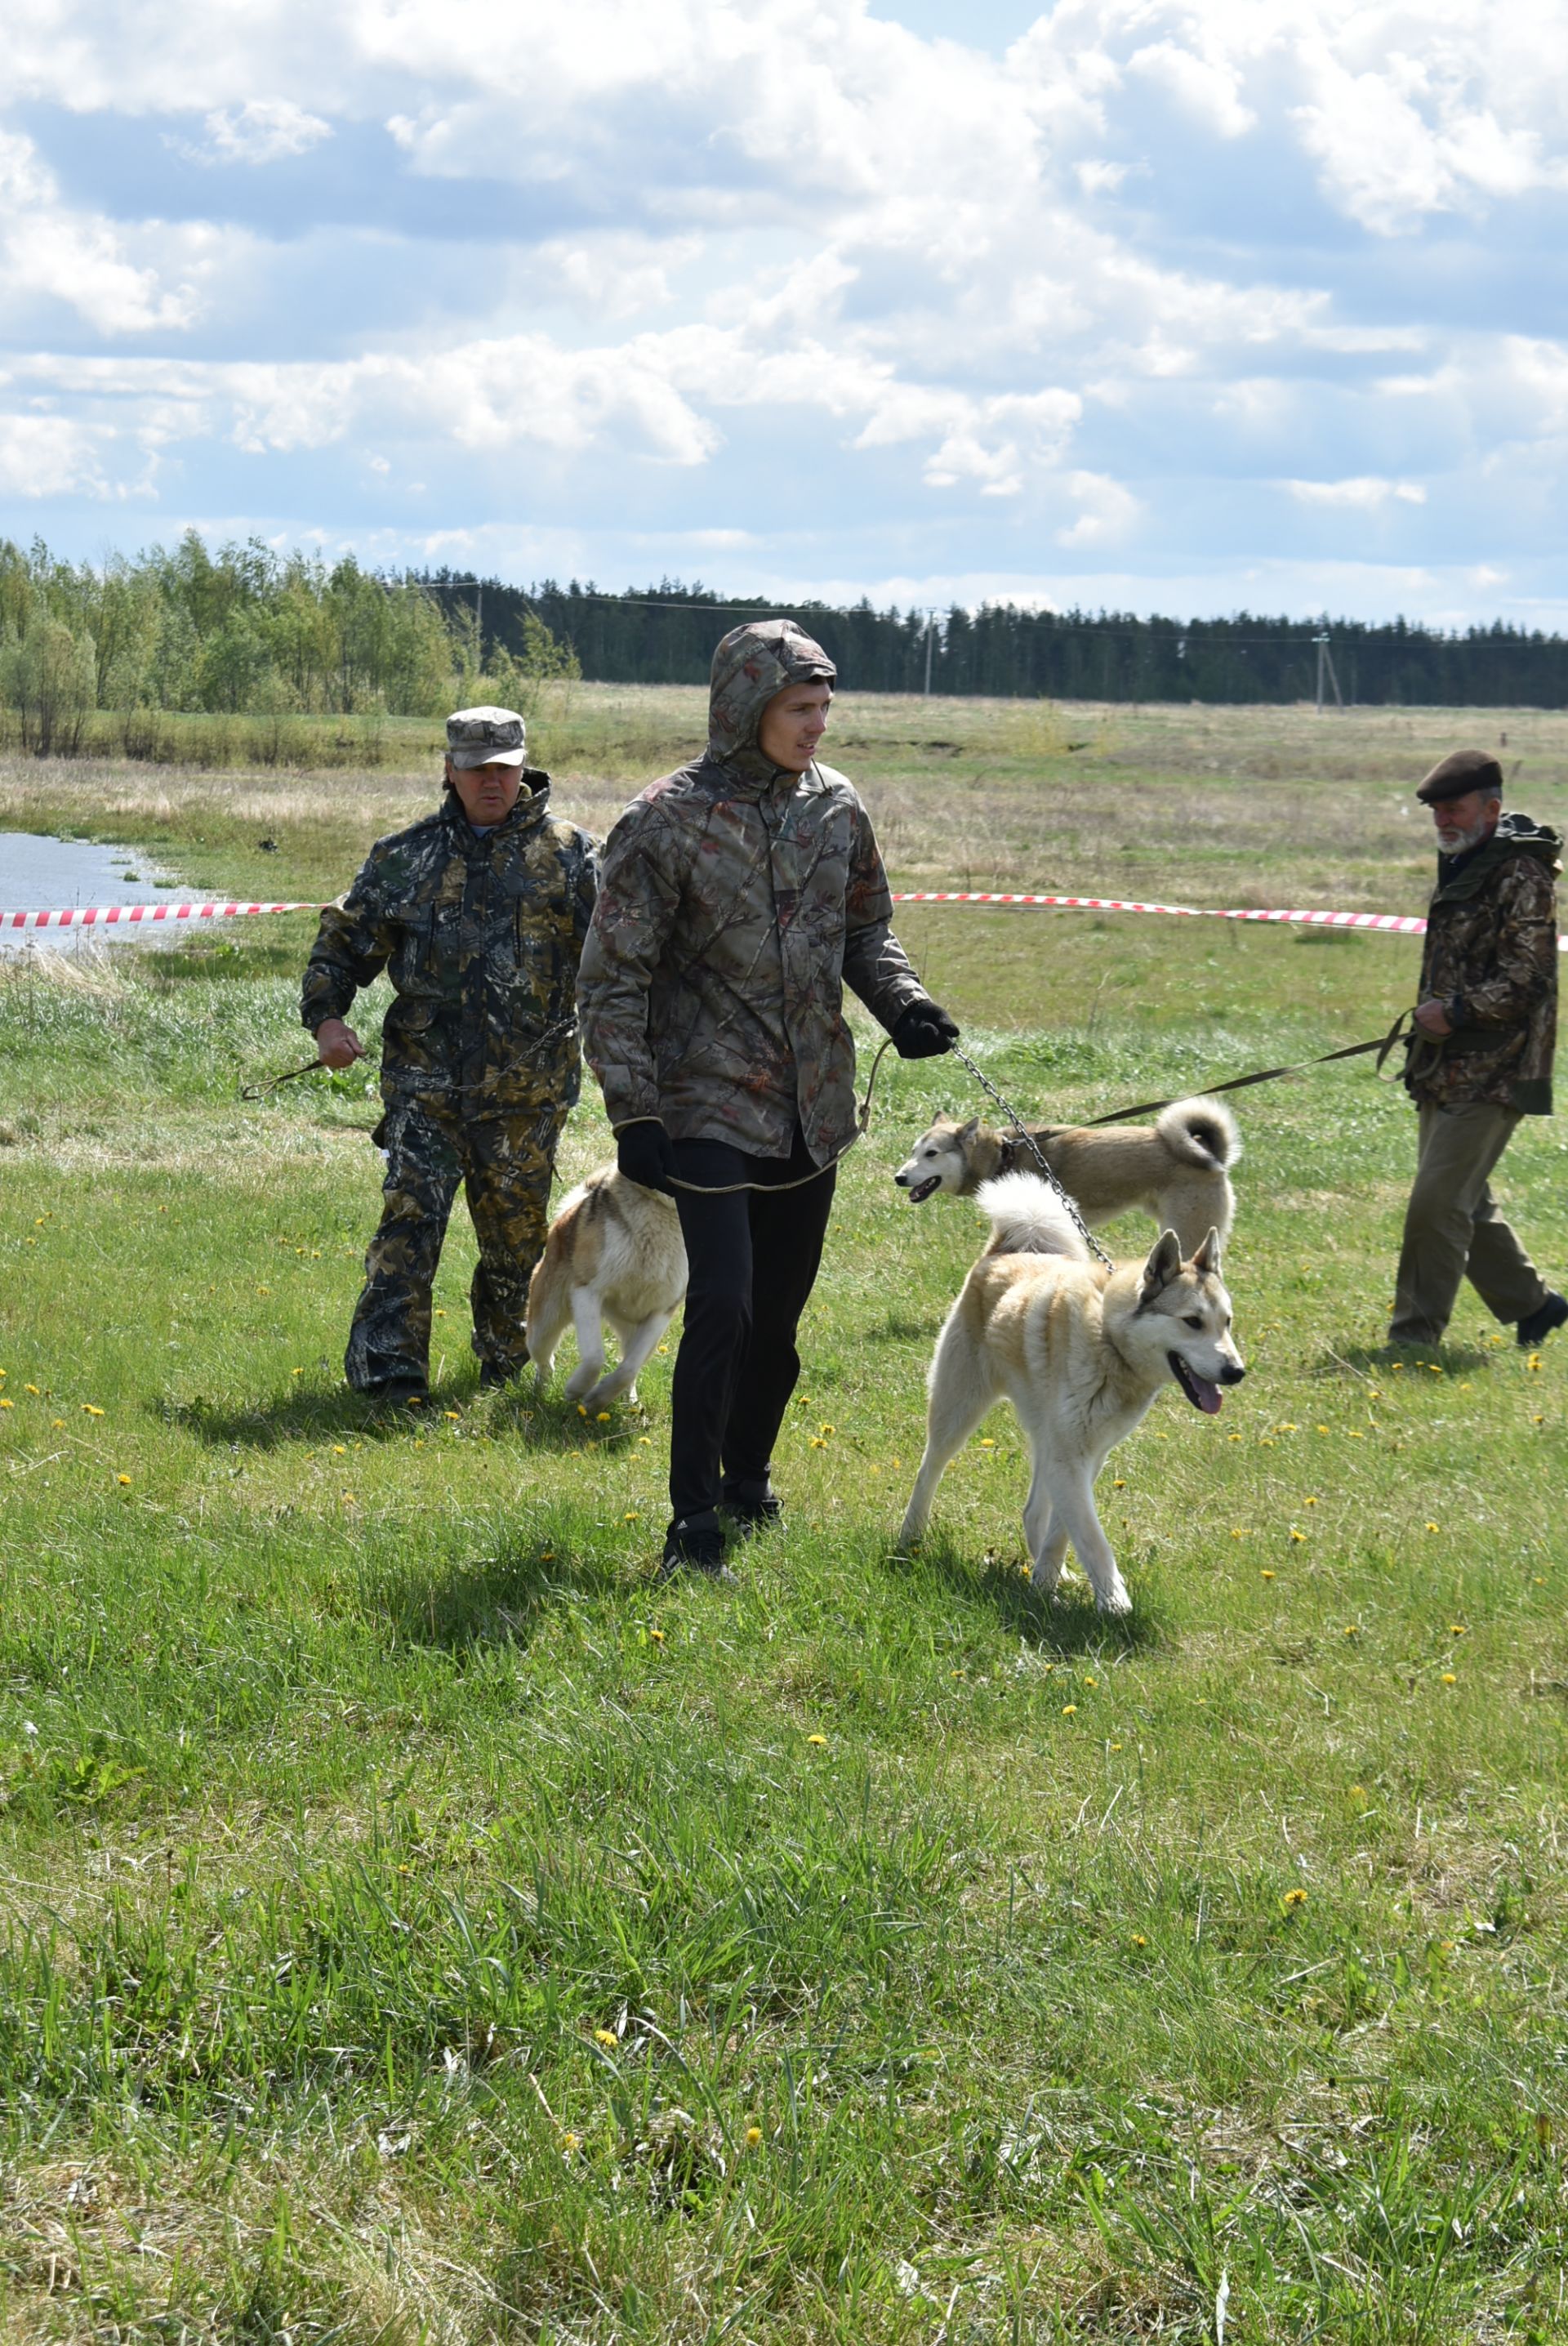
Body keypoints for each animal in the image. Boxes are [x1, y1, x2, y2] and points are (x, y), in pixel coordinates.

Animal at [524, 1158, 684, 1398]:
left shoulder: (661, 1312)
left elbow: (628, 1368)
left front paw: (599, 1398)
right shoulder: (587, 1291)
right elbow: (594, 1359)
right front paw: (576, 1389)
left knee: (629, 1364)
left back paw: (630, 1400)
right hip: (544, 1325)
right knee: (545, 1359)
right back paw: (539, 1390)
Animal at [890, 1102, 1237, 1266]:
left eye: (932, 1153)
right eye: (913, 1152)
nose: (899, 1178)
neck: (1004, 1156)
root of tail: (1212, 1156)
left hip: (1187, 1230)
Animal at [890, 1173, 1246, 1613]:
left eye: (1226, 1322)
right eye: (1192, 1321)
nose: (1236, 1372)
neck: (1109, 1339)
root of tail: (1002, 1251)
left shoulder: (1085, 1455)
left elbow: (1065, 1528)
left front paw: (1047, 1582)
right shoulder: (1070, 1456)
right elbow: (1092, 1538)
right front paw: (1113, 1602)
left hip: (1044, 1435)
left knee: (1032, 1512)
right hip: (958, 1410)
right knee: (929, 1471)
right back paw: (910, 1538)